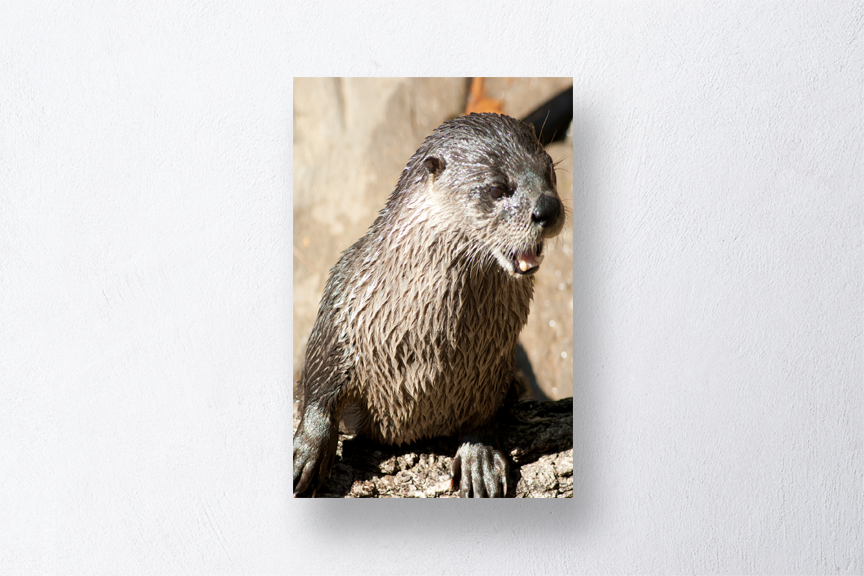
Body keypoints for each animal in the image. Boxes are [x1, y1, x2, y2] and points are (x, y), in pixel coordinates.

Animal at [293, 112, 565, 497]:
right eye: (497, 188)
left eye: (550, 171)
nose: (548, 208)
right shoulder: (342, 306)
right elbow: (318, 381)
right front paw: (309, 450)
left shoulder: (494, 365)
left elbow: (486, 411)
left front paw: (479, 457)